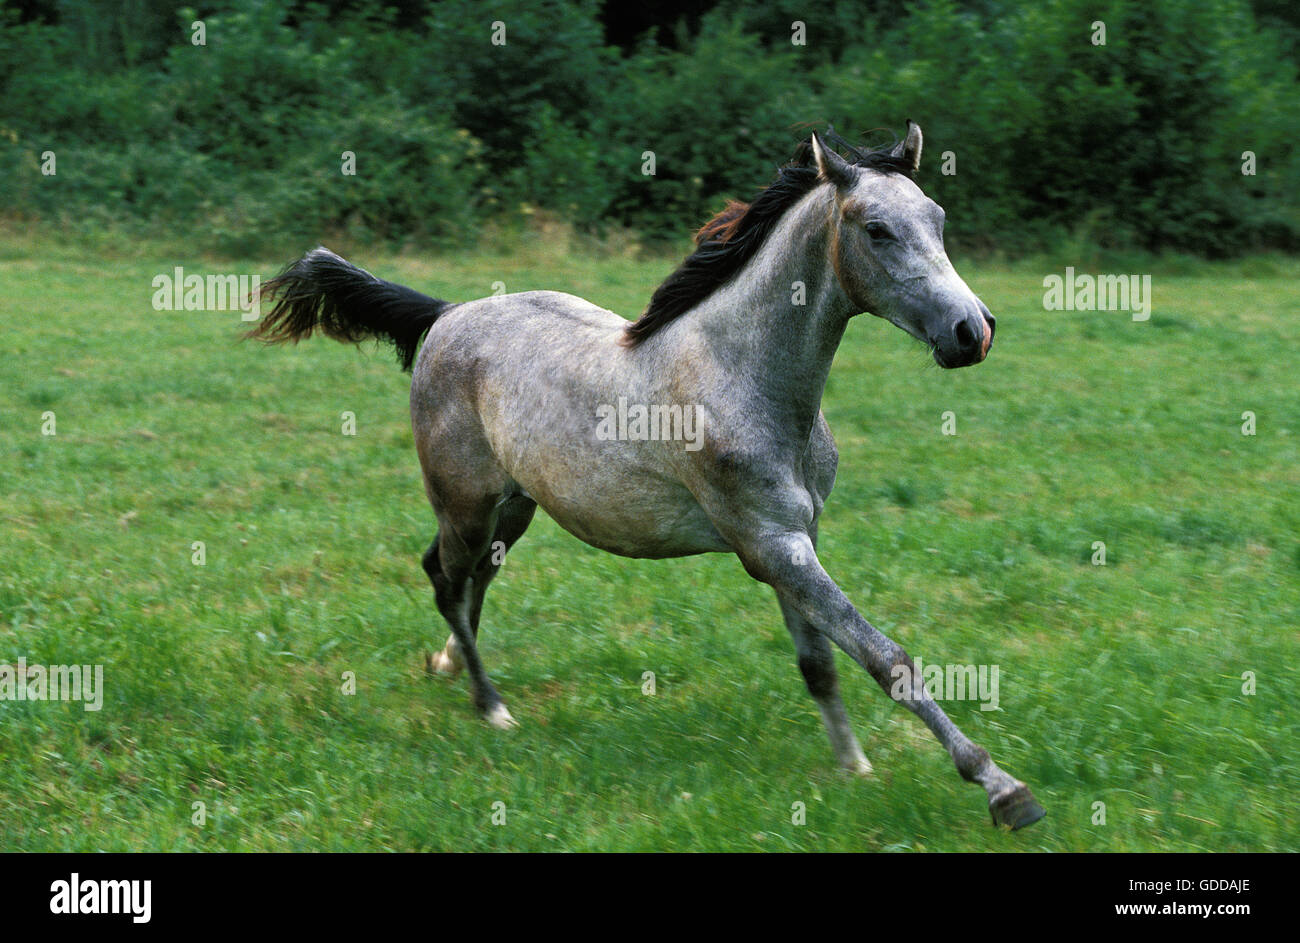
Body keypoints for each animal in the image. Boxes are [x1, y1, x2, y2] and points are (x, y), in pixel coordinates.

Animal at [250, 121, 1045, 827]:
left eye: (938, 220)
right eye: (877, 230)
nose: (973, 331)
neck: (742, 377)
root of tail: (445, 314)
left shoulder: (795, 540)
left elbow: (820, 661)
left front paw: (852, 766)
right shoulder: (772, 544)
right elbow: (885, 656)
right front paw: (1002, 789)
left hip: (516, 507)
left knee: (467, 580)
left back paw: (448, 667)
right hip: (466, 501)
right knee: (446, 578)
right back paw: (491, 705)